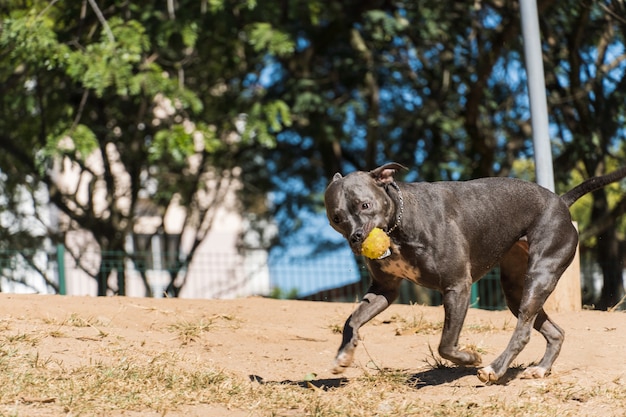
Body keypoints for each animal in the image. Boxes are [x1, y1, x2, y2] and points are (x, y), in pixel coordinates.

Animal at [324, 161, 624, 382]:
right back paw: (540, 368)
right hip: (515, 290)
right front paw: (344, 355)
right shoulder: (384, 290)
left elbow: (446, 343)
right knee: (554, 332)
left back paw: (495, 368)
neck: (400, 223)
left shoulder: (457, 286)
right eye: (336, 218)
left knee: (523, 331)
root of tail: (560, 201)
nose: (357, 238)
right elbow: (352, 320)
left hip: (540, 275)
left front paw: (471, 358)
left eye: (365, 205)